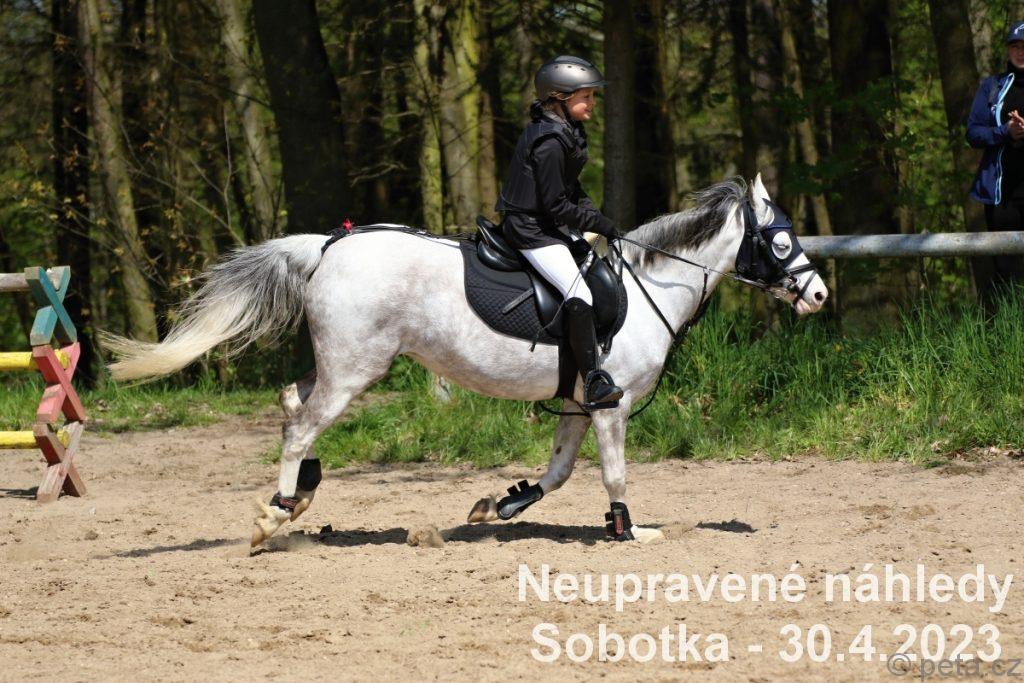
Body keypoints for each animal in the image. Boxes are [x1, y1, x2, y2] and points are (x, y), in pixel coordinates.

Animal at [102, 174, 828, 547]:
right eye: (780, 239)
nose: (819, 294)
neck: (653, 284)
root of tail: (330, 246)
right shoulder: (610, 401)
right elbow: (614, 474)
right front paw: (628, 530)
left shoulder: (578, 401)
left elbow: (558, 472)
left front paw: (498, 506)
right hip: (356, 370)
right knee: (303, 425)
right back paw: (277, 513)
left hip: (340, 364)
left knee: (290, 403)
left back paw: (302, 497)